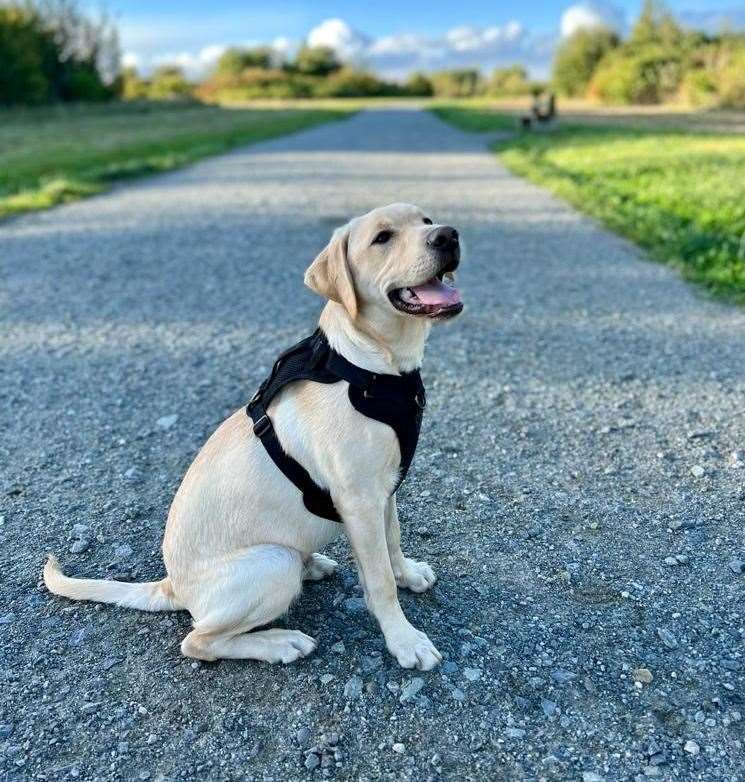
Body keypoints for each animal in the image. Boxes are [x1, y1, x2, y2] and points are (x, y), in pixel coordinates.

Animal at [43, 204, 462, 672]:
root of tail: (172, 585)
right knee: (199, 641)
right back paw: (280, 643)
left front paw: (408, 574)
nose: (448, 236)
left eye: (426, 221)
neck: (371, 367)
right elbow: (379, 579)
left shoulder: (384, 491)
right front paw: (404, 639)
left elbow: (394, 542)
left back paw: (313, 567)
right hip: (273, 562)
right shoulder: (359, 500)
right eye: (382, 238)